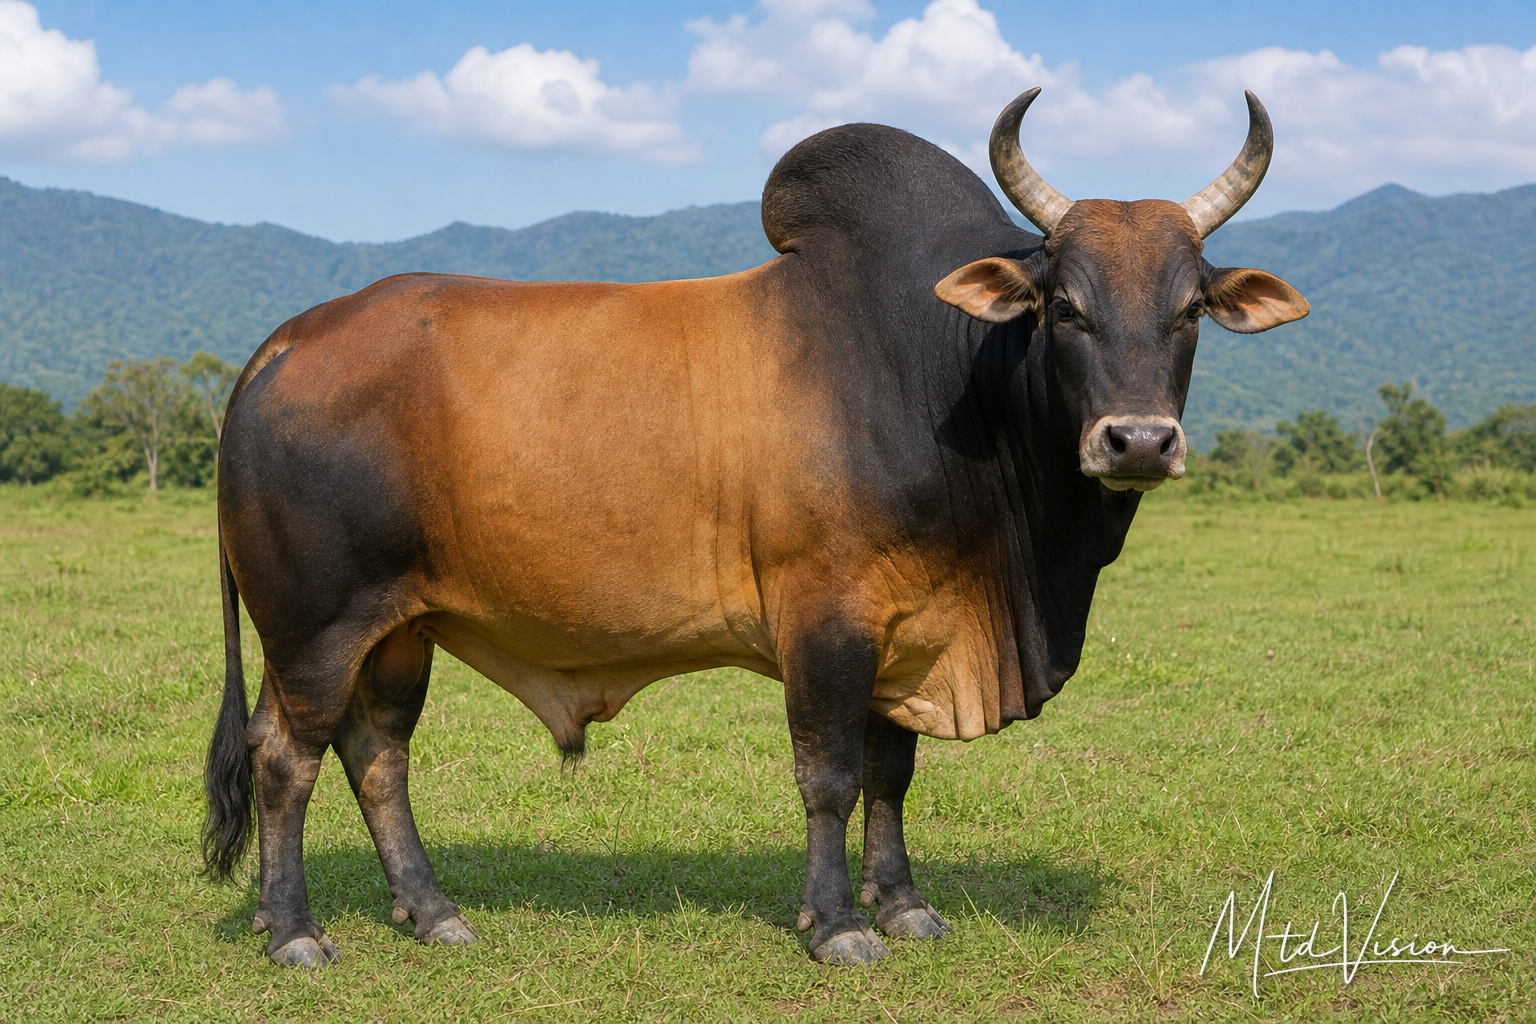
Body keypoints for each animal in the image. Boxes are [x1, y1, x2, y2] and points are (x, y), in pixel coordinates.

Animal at [203, 88, 1308, 967]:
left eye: (1191, 309)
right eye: (1065, 307)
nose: (1137, 441)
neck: (943, 370)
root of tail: (286, 341)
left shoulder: (905, 625)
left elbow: (891, 772)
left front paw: (905, 905)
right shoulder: (826, 617)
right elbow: (830, 774)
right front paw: (838, 926)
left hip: (399, 628)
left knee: (376, 753)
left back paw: (433, 913)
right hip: (314, 627)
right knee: (285, 756)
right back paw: (295, 931)